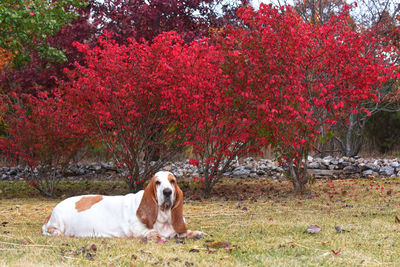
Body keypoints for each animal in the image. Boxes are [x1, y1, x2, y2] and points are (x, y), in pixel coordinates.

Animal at [43, 172, 203, 241]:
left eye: (172, 181)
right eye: (157, 182)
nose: (167, 191)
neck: (163, 215)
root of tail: (50, 213)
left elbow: (182, 232)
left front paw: (194, 233)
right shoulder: (135, 228)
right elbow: (147, 232)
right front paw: (154, 235)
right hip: (58, 221)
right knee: (52, 230)